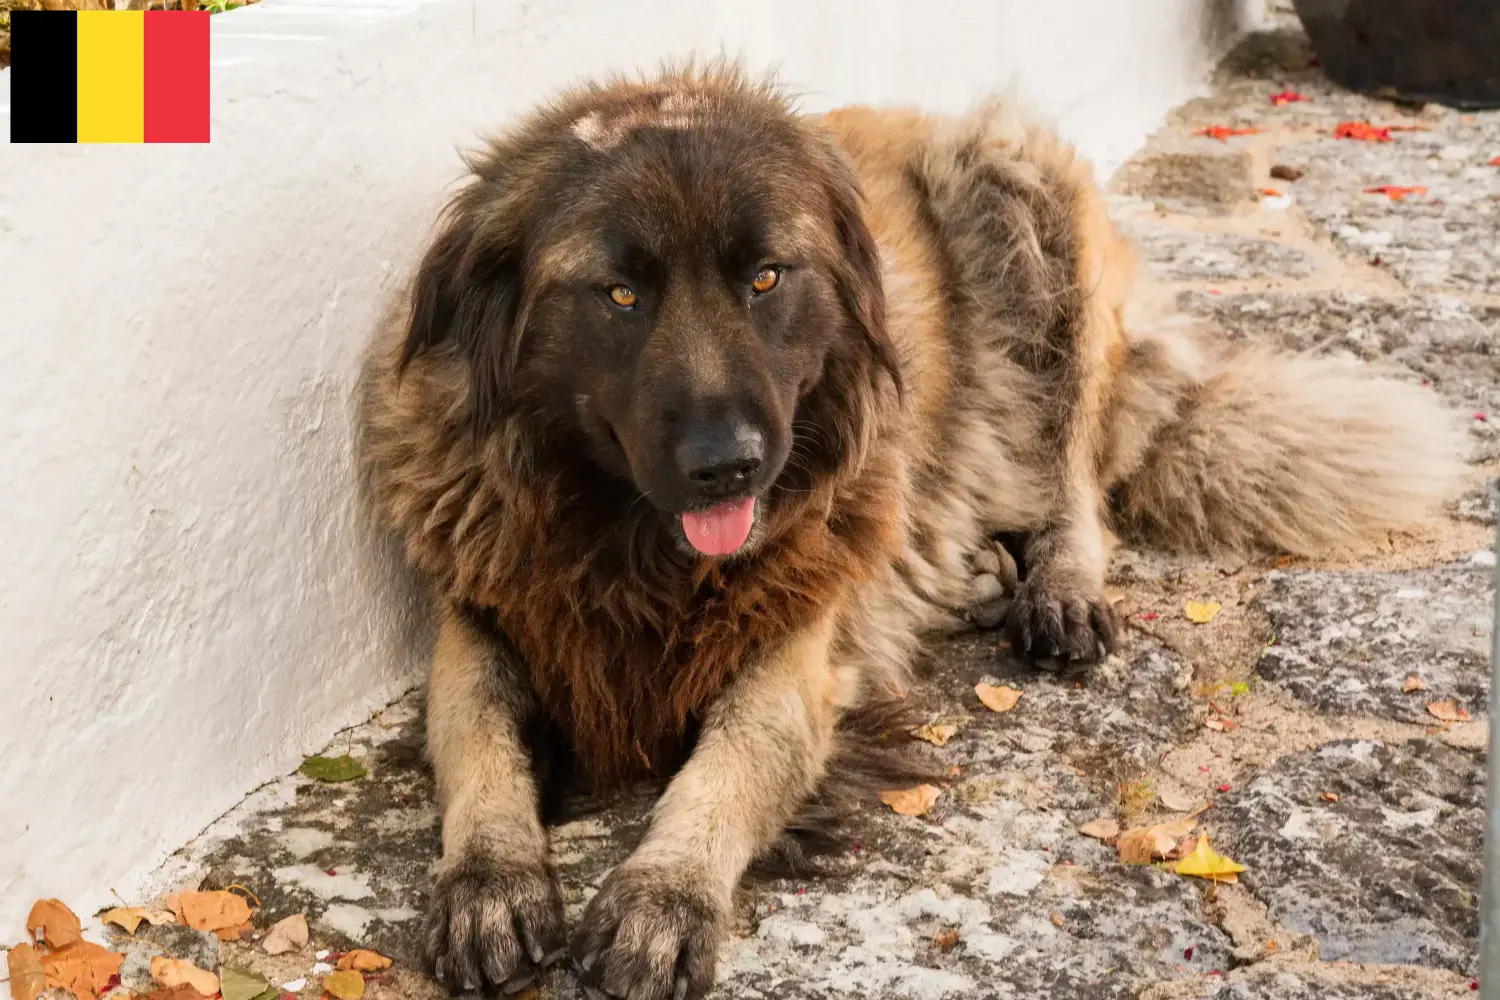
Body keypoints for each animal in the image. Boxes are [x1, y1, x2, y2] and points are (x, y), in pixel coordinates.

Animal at [360, 62, 1464, 1000]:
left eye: (767, 278)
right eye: (621, 293)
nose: (730, 464)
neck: (633, 544)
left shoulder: (790, 650)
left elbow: (726, 769)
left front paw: (663, 892)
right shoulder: (488, 619)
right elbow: (476, 744)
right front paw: (490, 874)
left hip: (1021, 195)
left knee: (1072, 480)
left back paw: (1056, 589)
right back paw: (972, 571)